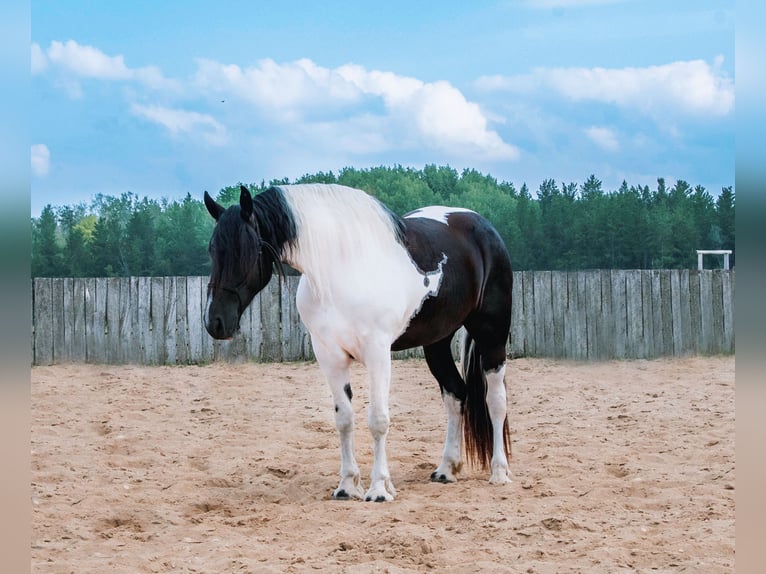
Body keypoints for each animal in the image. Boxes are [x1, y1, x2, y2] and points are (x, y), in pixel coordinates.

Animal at [204, 186, 516, 504]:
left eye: (248, 251)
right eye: (213, 250)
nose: (215, 322)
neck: (342, 268)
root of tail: (482, 226)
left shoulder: (378, 353)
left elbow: (378, 420)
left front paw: (378, 489)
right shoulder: (329, 356)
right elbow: (344, 419)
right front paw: (347, 486)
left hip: (491, 335)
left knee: (496, 400)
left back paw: (499, 472)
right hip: (436, 343)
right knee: (456, 394)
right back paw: (446, 469)